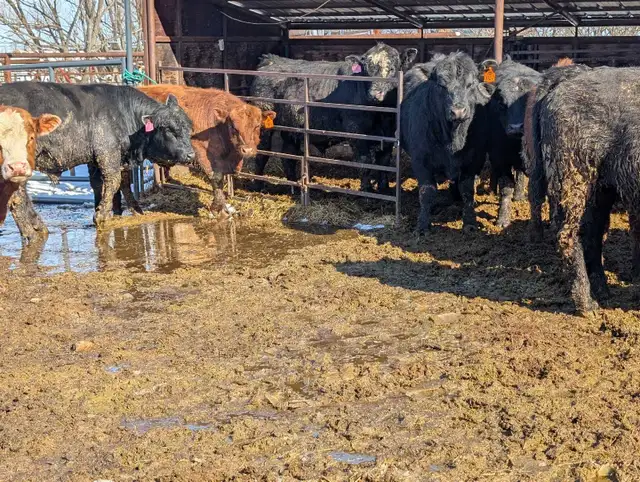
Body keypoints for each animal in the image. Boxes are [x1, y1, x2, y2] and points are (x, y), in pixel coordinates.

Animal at [0, 82, 195, 237]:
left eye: (189, 126)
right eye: (168, 129)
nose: (191, 154)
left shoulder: (100, 159)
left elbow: (112, 184)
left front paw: (133, 211)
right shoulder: (107, 153)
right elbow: (114, 181)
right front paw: (101, 216)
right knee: (17, 196)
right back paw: (33, 231)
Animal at [91, 85, 276, 216]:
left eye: (257, 126)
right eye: (233, 127)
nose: (247, 150)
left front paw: (224, 207)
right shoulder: (201, 152)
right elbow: (215, 178)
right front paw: (217, 209)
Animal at [250, 44, 417, 191]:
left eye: (392, 69)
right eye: (365, 71)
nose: (374, 95)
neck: (381, 114)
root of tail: (271, 60)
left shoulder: (389, 132)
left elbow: (384, 161)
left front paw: (384, 188)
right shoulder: (355, 130)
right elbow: (365, 161)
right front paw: (367, 189)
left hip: (291, 129)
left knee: (288, 157)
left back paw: (294, 186)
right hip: (263, 125)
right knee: (262, 153)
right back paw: (258, 185)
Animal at [400, 52, 494, 234]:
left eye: (471, 84)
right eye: (441, 86)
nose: (458, 111)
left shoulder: (475, 159)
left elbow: (467, 190)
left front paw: (470, 223)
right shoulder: (420, 160)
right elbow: (427, 192)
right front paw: (422, 225)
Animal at [536, 67, 640, 315]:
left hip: (600, 189)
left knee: (592, 234)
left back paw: (602, 293)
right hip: (573, 177)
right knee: (568, 235)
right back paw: (587, 305)